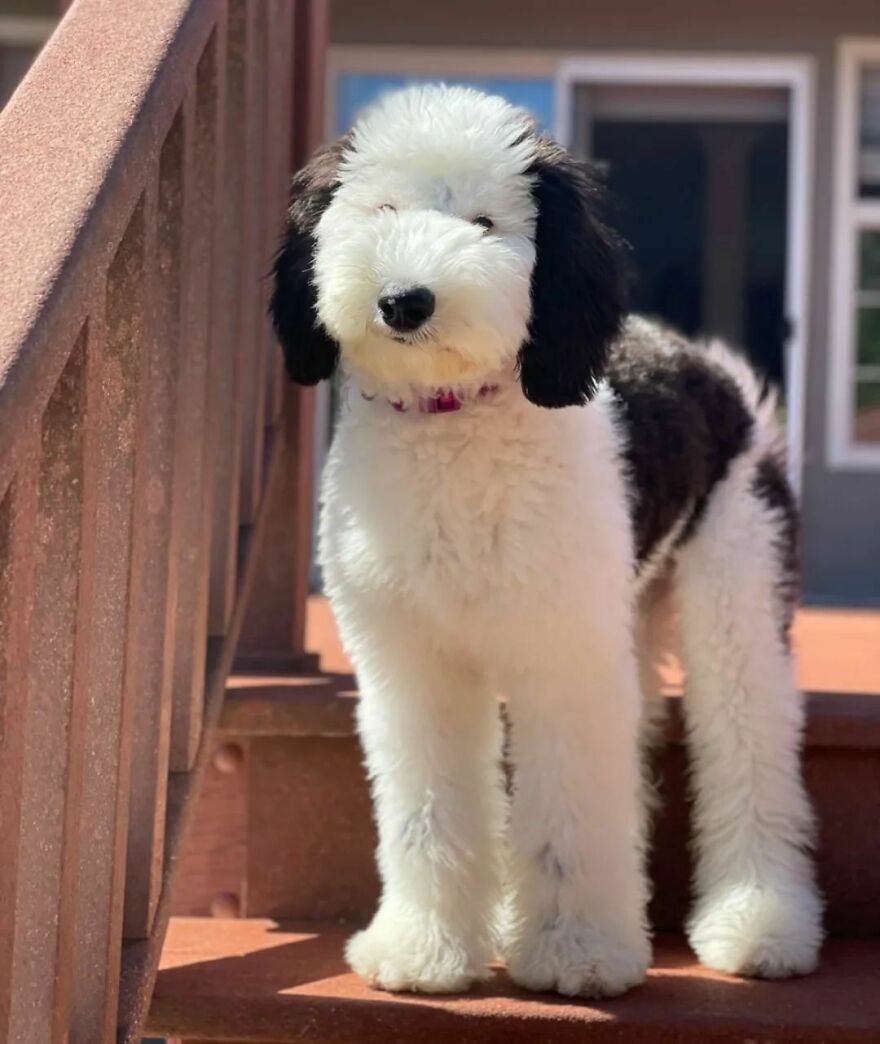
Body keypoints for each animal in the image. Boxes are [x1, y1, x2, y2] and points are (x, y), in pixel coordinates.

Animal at [271, 85, 822, 998]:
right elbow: (429, 808)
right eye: (383, 209)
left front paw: (576, 952)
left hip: (737, 582)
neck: (457, 423)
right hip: (627, 613)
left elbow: (569, 805)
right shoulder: (413, 663)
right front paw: (425, 950)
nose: (406, 300)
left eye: (486, 223)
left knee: (748, 742)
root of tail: (710, 365)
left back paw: (760, 924)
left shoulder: (563, 657)